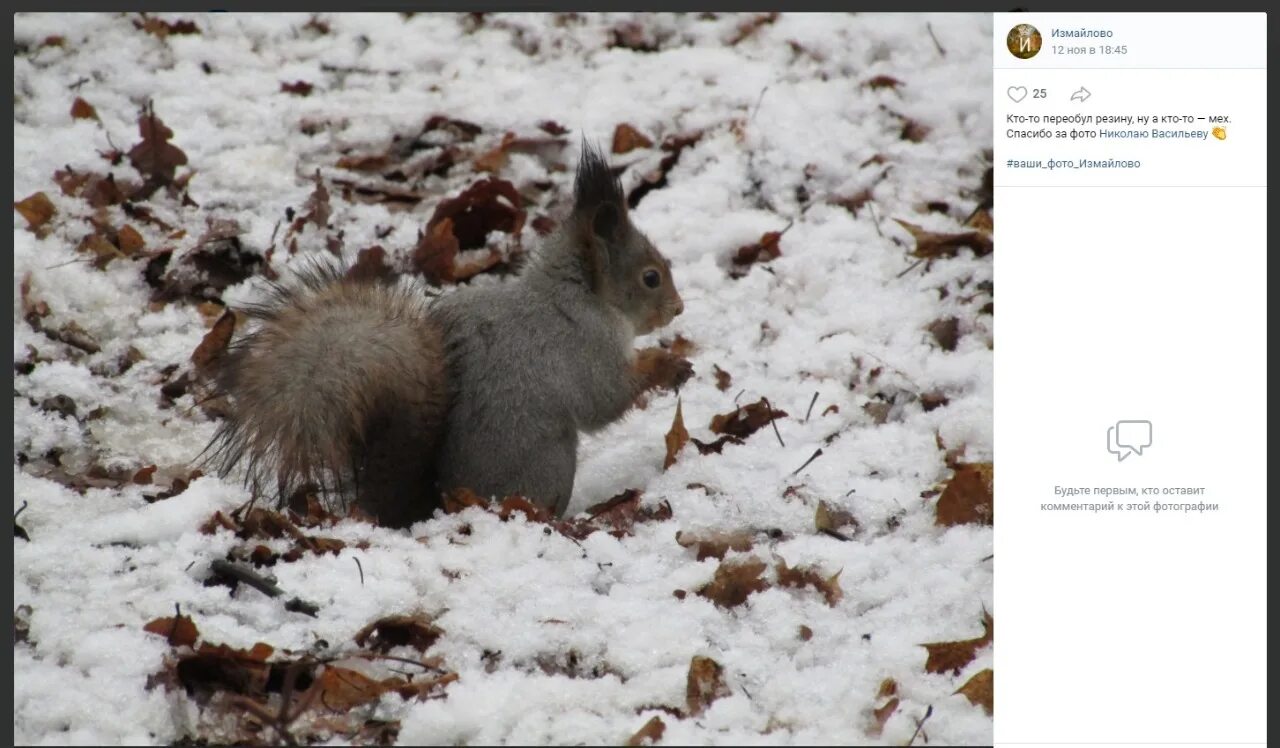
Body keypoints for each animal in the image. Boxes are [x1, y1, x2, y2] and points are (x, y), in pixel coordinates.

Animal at [204, 146, 691, 527]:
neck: (576, 292)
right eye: (650, 277)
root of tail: (442, 503)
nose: (679, 308)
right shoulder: (583, 344)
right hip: (551, 462)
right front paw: (667, 364)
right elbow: (604, 399)